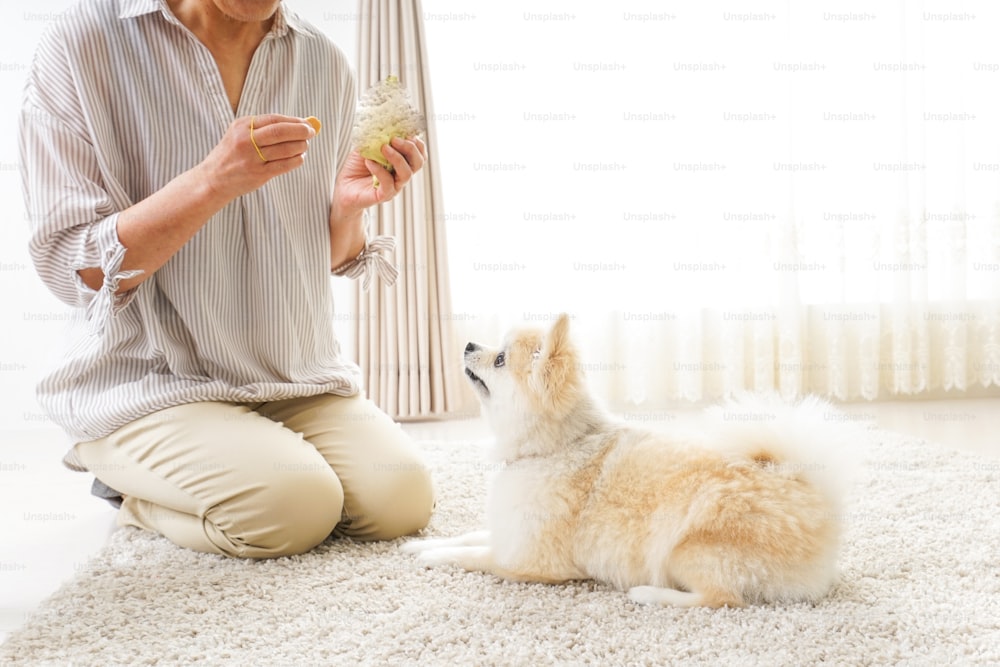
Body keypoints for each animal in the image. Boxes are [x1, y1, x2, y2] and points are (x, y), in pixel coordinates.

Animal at [402, 316, 856, 608]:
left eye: (499, 359)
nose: (468, 344)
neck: (553, 447)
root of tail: (811, 493)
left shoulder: (526, 562)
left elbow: (471, 555)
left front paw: (432, 558)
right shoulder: (510, 532)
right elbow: (466, 537)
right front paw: (420, 544)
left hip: (686, 548)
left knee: (723, 599)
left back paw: (649, 595)